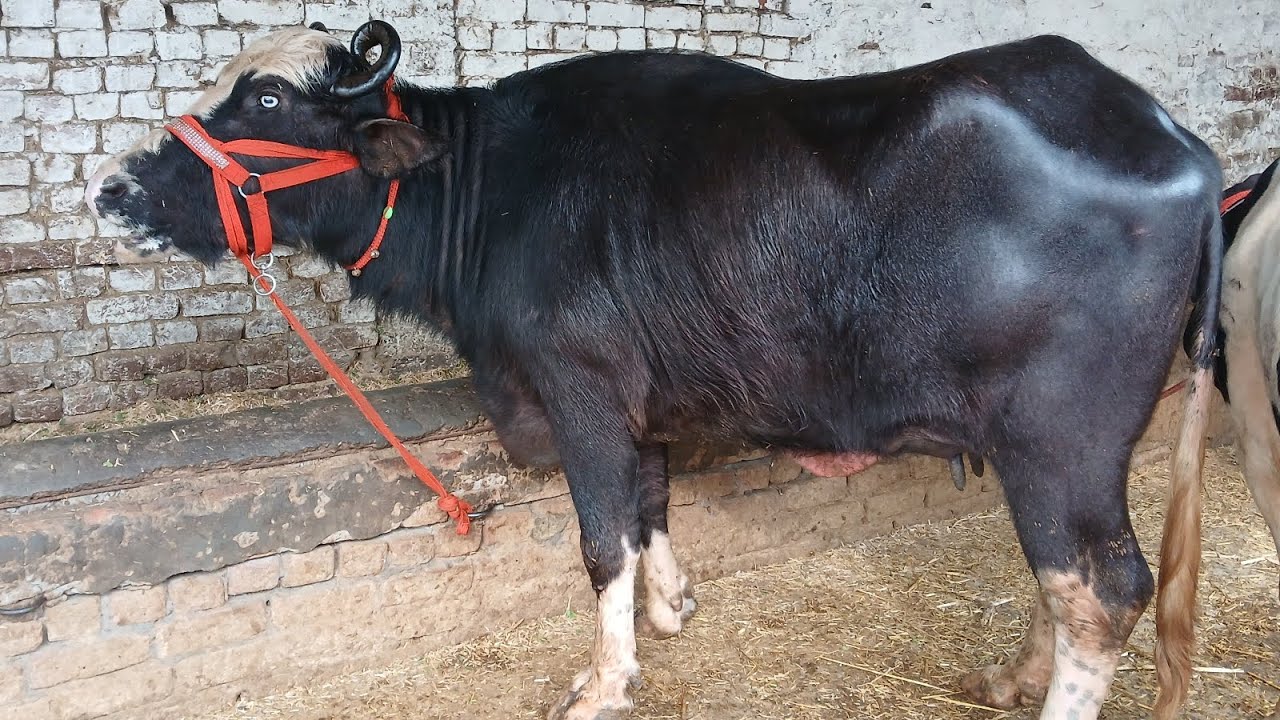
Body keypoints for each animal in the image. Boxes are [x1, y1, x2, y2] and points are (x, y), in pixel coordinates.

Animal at [84, 22, 1224, 720]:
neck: (490, 190)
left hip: (1062, 442)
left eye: (270, 98)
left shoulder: (578, 386)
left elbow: (600, 540)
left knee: (1102, 590)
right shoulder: (640, 398)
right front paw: (671, 607)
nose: (107, 188)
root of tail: (1176, 139)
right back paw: (1008, 678)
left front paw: (605, 678)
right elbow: (649, 500)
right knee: (1065, 582)